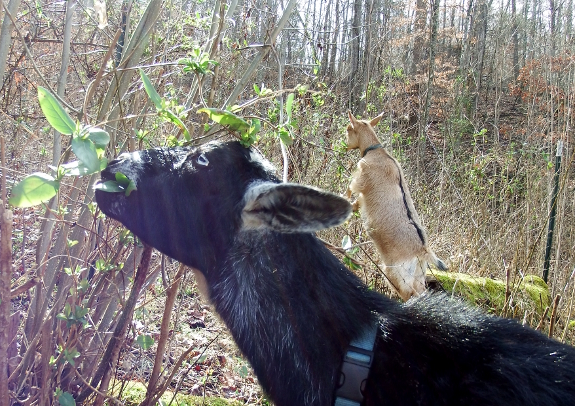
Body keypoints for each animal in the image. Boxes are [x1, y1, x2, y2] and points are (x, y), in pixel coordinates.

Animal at [344, 111, 448, 302]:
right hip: (417, 274)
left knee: (409, 293)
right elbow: (356, 203)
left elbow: (349, 189)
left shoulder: (360, 179)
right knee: (420, 291)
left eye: (349, 129)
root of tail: (422, 250)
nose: (344, 145)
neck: (376, 152)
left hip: (394, 273)